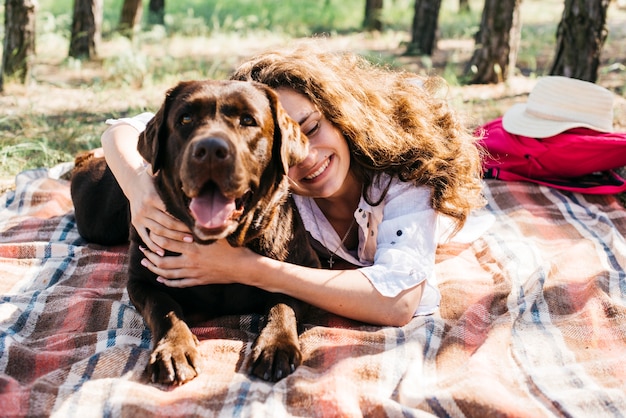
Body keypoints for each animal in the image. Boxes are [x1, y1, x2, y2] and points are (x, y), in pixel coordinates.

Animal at [70, 80, 320, 384]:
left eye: (248, 120)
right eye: (185, 119)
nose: (210, 149)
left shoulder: (304, 268)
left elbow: (282, 306)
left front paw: (276, 347)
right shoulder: (142, 281)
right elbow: (164, 309)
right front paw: (174, 350)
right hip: (96, 219)